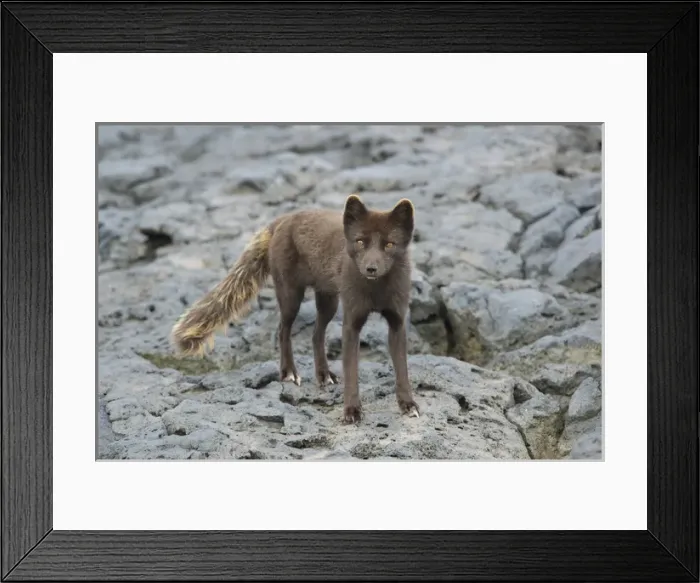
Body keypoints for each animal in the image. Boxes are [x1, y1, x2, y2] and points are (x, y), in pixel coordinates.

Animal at [170, 194, 420, 424]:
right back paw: (289, 372)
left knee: (316, 334)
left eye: (389, 244)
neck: (376, 292)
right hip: (291, 297)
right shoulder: (351, 323)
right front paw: (351, 411)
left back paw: (323, 375)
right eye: (360, 242)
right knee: (283, 330)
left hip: (329, 301)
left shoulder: (397, 321)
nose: (370, 268)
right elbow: (351, 372)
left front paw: (408, 405)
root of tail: (285, 218)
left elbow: (402, 369)